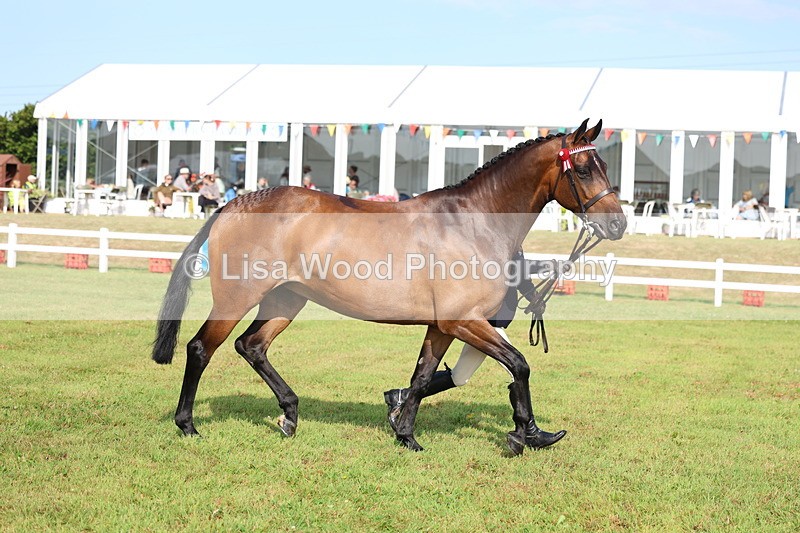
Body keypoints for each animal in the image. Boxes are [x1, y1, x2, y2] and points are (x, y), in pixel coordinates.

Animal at [152, 118, 626, 455]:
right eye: (584, 169)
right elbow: (519, 365)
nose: (618, 224)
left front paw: (406, 434)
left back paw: (289, 414)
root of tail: (234, 204)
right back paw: (188, 424)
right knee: (201, 349)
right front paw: (524, 435)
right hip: (238, 298)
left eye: (605, 165)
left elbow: (421, 376)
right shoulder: (464, 321)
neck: (473, 221)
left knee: (252, 346)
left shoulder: (441, 326)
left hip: (286, 299)